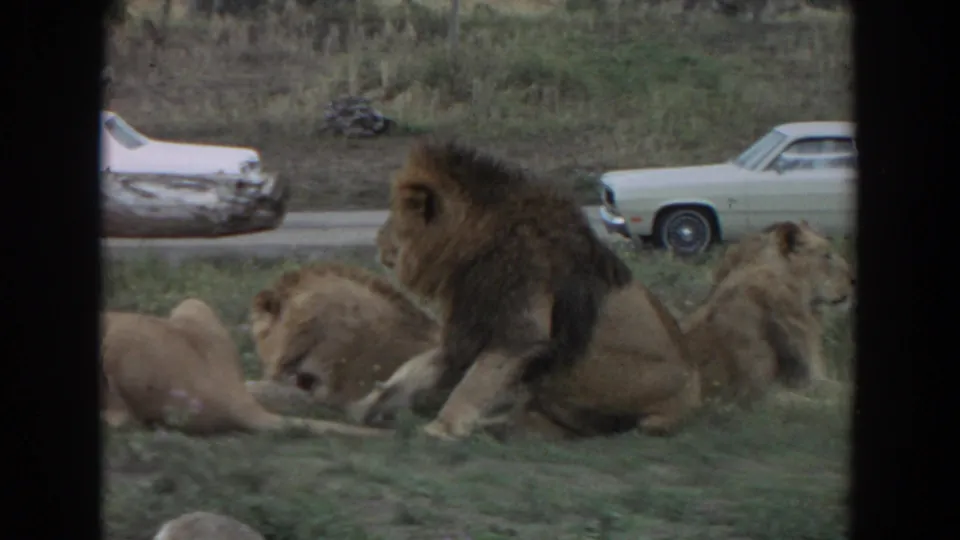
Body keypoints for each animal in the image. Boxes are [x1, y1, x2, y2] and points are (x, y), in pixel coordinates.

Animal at [337, 140, 699, 440]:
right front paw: (367, 405)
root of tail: (694, 397)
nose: (377, 241)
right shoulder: (467, 326)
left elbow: (473, 384)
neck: (473, 247)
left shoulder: (519, 330)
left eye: (394, 216)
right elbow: (414, 370)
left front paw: (441, 429)